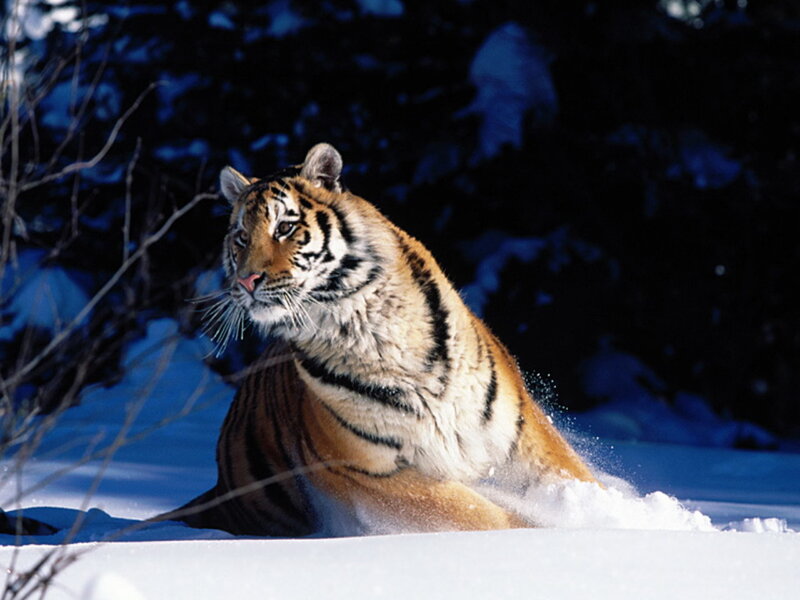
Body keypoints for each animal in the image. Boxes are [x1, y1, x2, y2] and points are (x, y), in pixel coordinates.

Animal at [174, 142, 596, 536]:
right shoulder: (369, 471)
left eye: (284, 228)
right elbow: (480, 514)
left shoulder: (518, 433)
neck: (367, 322)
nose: (245, 281)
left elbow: (569, 476)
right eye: (241, 238)